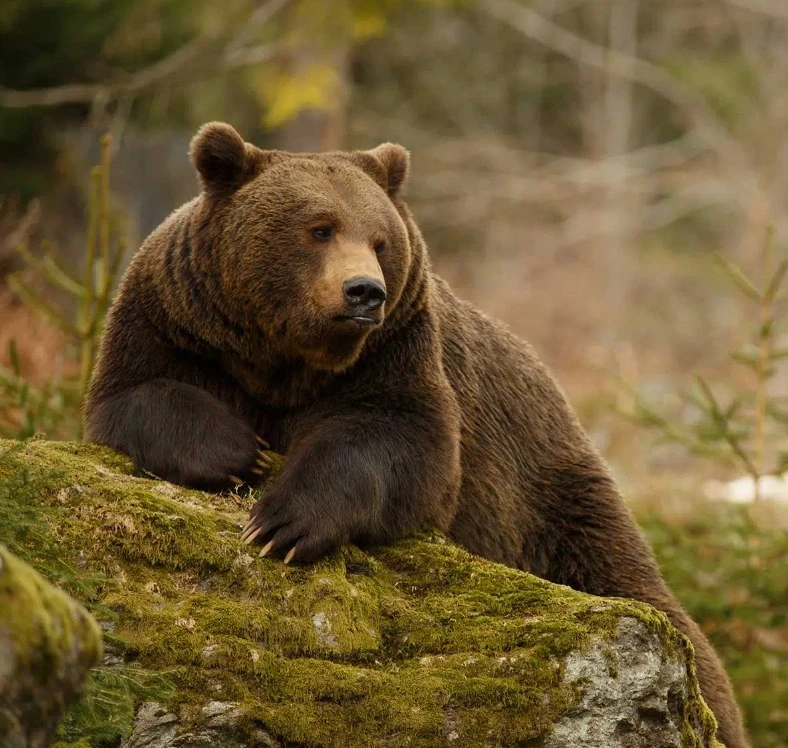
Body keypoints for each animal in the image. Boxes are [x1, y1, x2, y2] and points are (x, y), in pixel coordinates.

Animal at [84, 121, 748, 747]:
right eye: (319, 228)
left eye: (380, 240)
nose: (364, 292)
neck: (286, 360)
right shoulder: (176, 320)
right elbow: (134, 394)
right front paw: (236, 452)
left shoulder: (396, 351)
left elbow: (400, 444)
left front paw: (283, 523)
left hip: (548, 499)